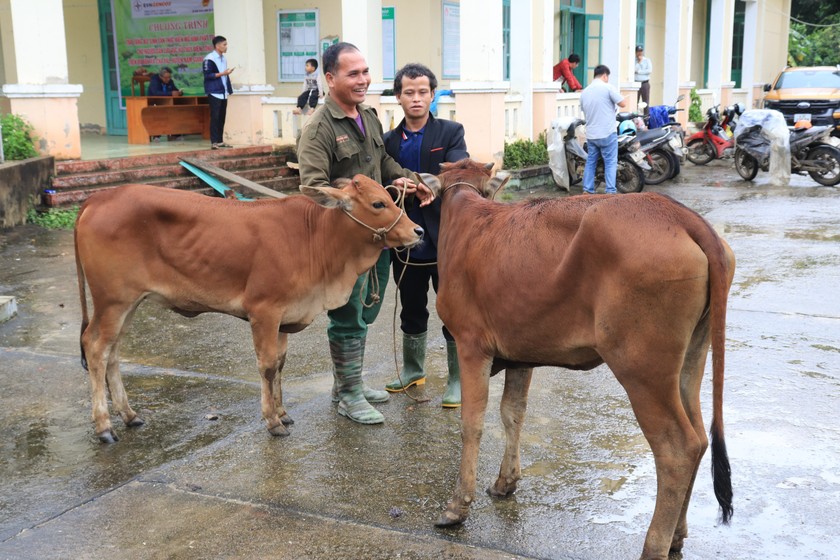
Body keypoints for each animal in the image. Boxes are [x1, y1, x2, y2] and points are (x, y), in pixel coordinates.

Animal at [75, 177, 424, 444]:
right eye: (378, 204)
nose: (418, 232)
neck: (315, 238)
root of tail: (100, 197)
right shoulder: (264, 311)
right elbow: (267, 366)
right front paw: (272, 421)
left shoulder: (284, 317)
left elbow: (280, 364)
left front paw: (283, 412)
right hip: (113, 301)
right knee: (96, 348)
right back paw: (104, 426)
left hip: (130, 303)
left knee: (113, 353)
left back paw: (129, 415)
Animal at [416, 160, 736, 560]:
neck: (469, 217)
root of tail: (677, 213)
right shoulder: (520, 353)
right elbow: (512, 413)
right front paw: (505, 481)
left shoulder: (471, 344)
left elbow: (472, 423)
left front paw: (457, 505)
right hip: (691, 358)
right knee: (700, 436)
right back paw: (677, 535)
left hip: (641, 368)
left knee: (678, 448)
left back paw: (654, 545)